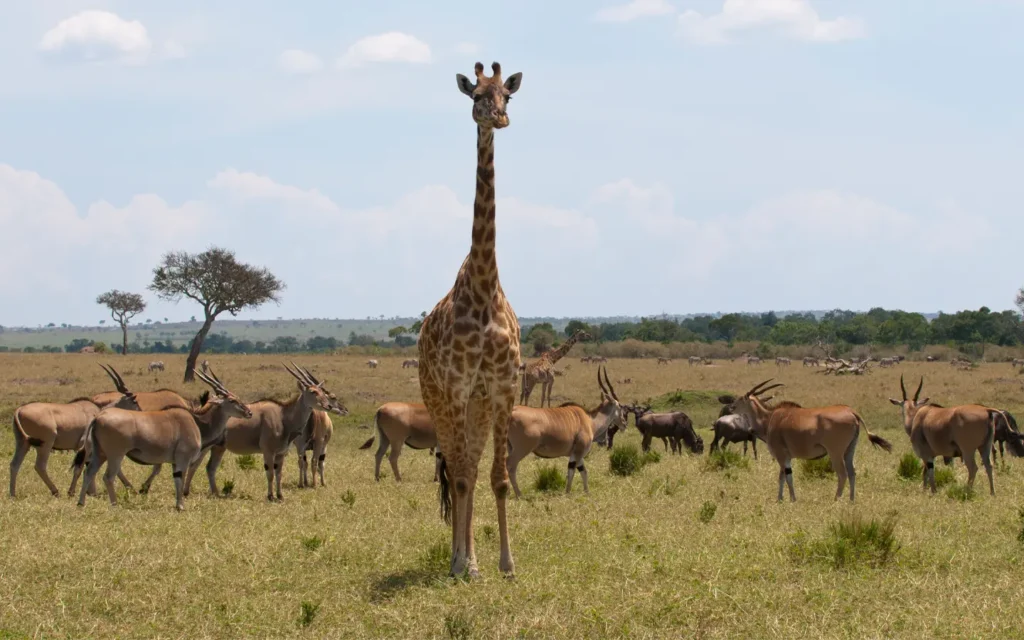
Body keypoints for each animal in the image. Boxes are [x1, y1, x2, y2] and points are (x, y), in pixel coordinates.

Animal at [10, 365, 140, 498]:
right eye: (135, 401)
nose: (140, 411)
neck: (98, 411)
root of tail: (19, 410)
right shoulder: (84, 446)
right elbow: (80, 468)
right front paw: (73, 492)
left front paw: (92, 491)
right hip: (45, 444)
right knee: (40, 466)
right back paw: (55, 491)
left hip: (23, 443)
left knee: (14, 465)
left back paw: (12, 494)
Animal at [77, 368, 251, 511]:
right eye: (232, 400)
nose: (249, 412)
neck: (197, 422)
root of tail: (98, 417)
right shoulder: (183, 459)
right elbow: (179, 478)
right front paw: (180, 505)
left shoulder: (175, 462)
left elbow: (175, 478)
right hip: (115, 455)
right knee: (108, 477)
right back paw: (114, 504)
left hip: (100, 454)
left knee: (89, 472)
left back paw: (81, 503)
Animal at [187, 364, 348, 501]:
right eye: (313, 392)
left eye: (322, 391)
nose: (327, 406)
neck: (283, 417)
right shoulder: (268, 451)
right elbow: (270, 473)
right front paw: (270, 496)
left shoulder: (281, 453)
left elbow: (279, 474)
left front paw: (280, 496)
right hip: (206, 447)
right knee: (194, 465)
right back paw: (187, 492)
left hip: (219, 448)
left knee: (210, 467)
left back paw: (215, 493)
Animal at [505, 366, 625, 497]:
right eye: (619, 406)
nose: (624, 424)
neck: (589, 420)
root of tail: (513, 411)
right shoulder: (579, 451)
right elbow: (572, 472)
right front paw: (568, 493)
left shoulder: (576, 454)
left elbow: (582, 471)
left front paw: (586, 492)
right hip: (522, 449)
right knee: (510, 464)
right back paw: (518, 494)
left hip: (511, 448)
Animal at [731, 378, 893, 502]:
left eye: (740, 399)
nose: (731, 407)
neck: (770, 418)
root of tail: (852, 412)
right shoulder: (785, 457)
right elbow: (783, 476)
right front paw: (781, 499)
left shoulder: (781, 455)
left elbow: (786, 476)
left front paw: (791, 499)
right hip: (849, 452)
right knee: (852, 473)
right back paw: (851, 500)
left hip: (835, 453)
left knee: (842, 474)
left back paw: (836, 499)